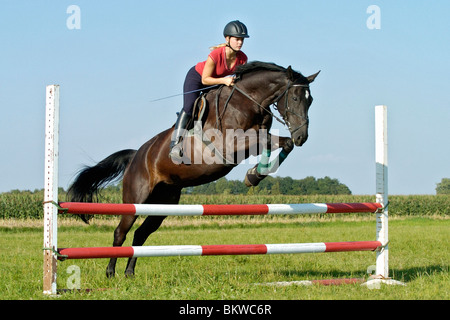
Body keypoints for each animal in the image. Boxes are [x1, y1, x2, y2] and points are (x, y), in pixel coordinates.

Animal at [67, 61, 320, 276]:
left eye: (311, 100)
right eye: (295, 97)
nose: (302, 136)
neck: (247, 101)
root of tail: (136, 155)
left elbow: (279, 142)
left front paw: (254, 175)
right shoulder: (231, 145)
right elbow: (269, 140)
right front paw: (254, 175)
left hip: (164, 202)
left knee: (140, 234)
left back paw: (129, 273)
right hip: (136, 199)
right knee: (121, 232)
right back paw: (110, 273)